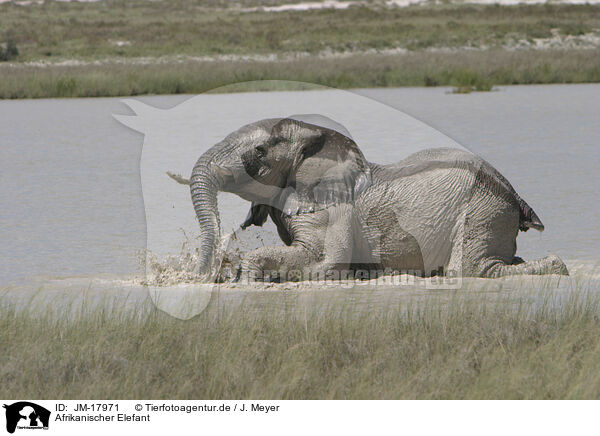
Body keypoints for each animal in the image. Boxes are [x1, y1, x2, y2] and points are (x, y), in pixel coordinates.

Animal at [172, 114, 568, 282]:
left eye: (259, 151)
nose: (203, 276)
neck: (317, 135)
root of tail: (516, 196)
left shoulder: (330, 211)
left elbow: (325, 259)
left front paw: (253, 279)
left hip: (483, 207)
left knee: (471, 269)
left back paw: (556, 267)